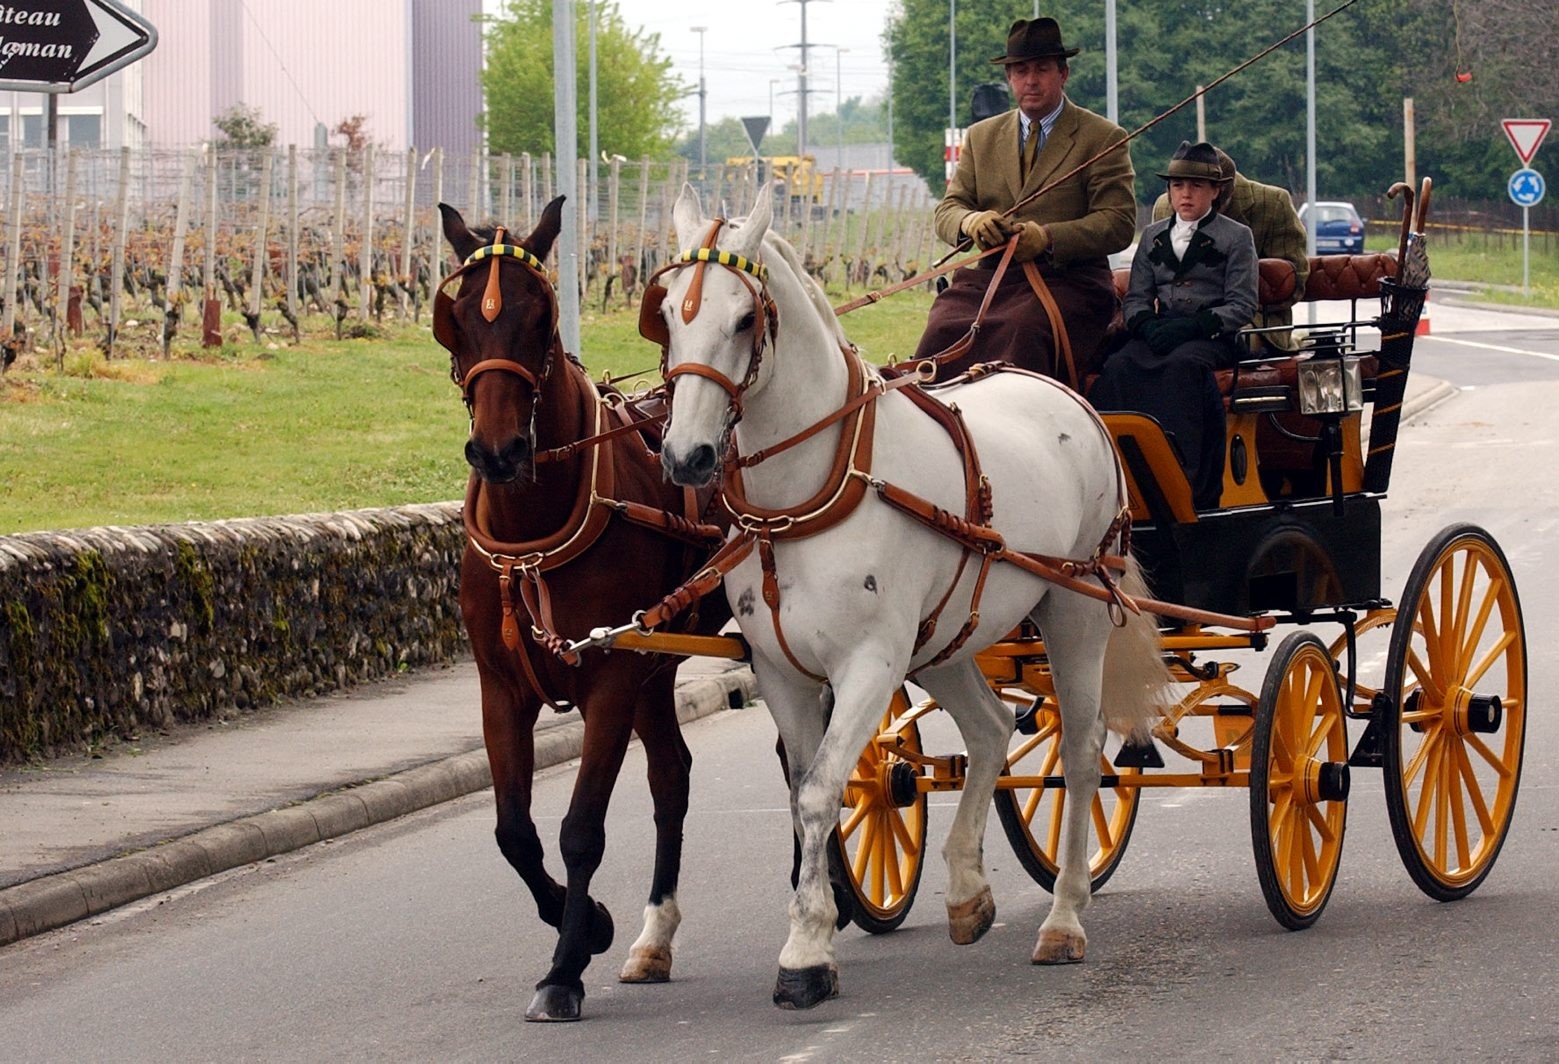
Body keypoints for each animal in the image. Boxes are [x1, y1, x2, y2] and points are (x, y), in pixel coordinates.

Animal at [439, 198, 729, 1017]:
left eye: (542, 316)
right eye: (455, 317)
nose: (498, 451)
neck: (532, 533)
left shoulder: (609, 679)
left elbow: (580, 829)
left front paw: (564, 967)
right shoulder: (502, 687)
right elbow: (514, 832)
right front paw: (592, 923)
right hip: (657, 666)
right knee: (672, 776)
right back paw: (653, 937)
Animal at [645, 186, 1172, 1004]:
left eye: (744, 319)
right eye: (667, 313)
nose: (687, 457)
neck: (804, 497)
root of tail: (1064, 393)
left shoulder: (869, 663)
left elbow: (820, 791)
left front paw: (804, 955)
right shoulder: (781, 672)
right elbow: (806, 793)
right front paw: (816, 931)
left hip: (1074, 607)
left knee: (1083, 754)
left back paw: (1064, 918)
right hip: (943, 640)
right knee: (991, 727)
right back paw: (966, 891)